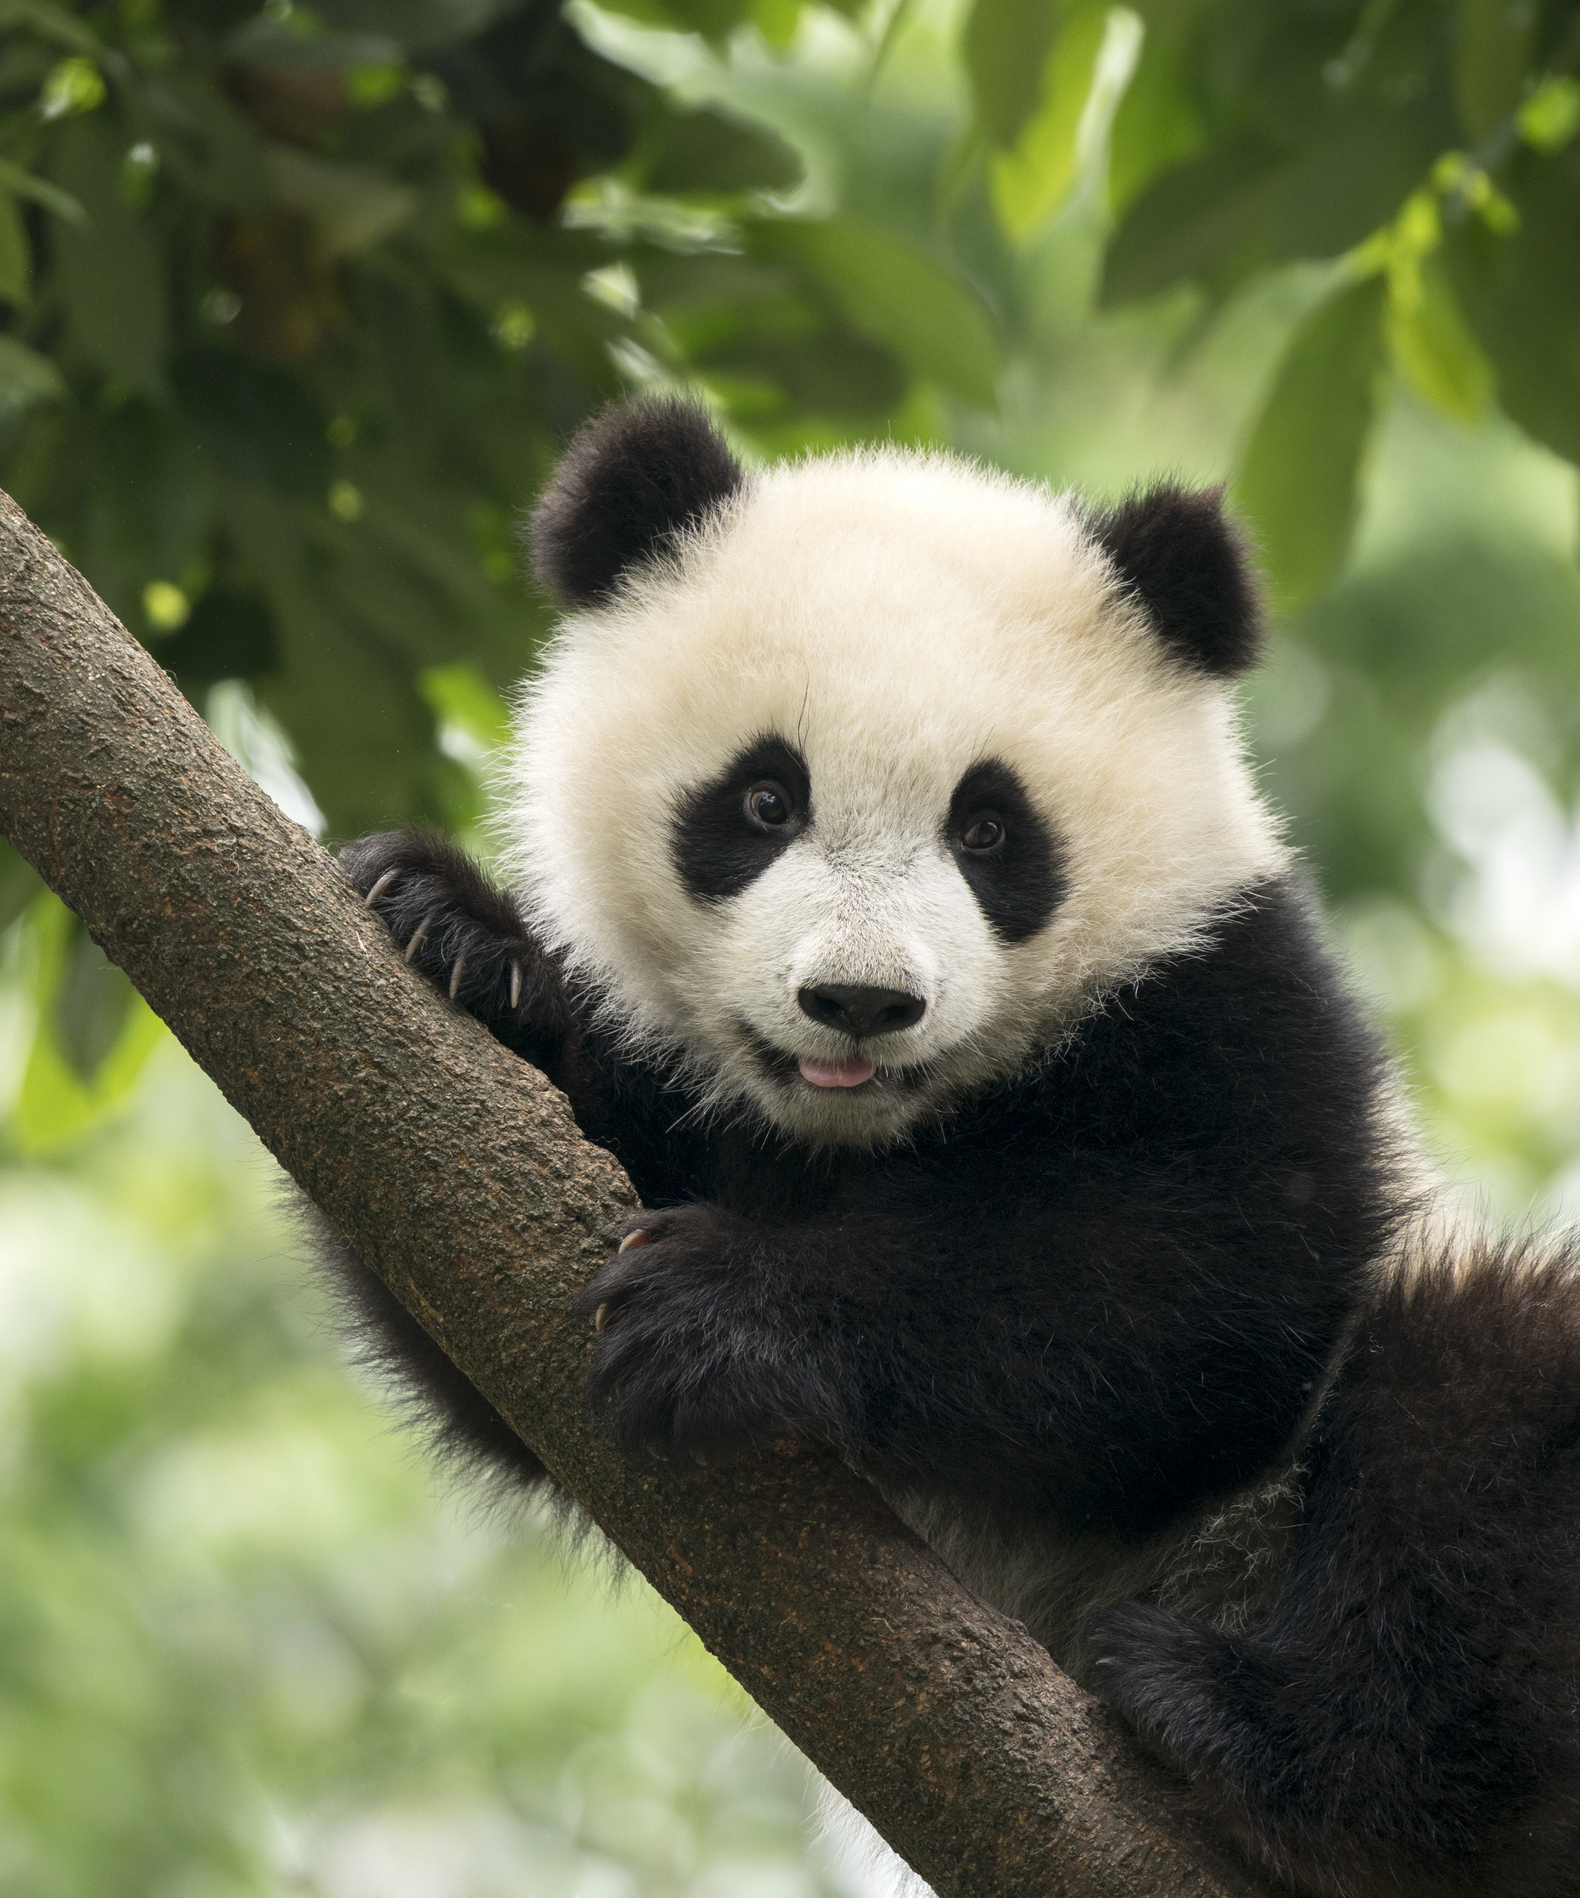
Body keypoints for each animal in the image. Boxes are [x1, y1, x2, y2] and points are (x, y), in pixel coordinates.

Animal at [324, 396, 1580, 1898]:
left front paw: (725, 1312)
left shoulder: (1230, 997)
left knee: (1474, 1406)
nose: (860, 1001)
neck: (865, 1130)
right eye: (764, 801)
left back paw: (1254, 1735)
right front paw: (455, 936)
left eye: (989, 829)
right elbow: (486, 1312)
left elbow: (1205, 1290)